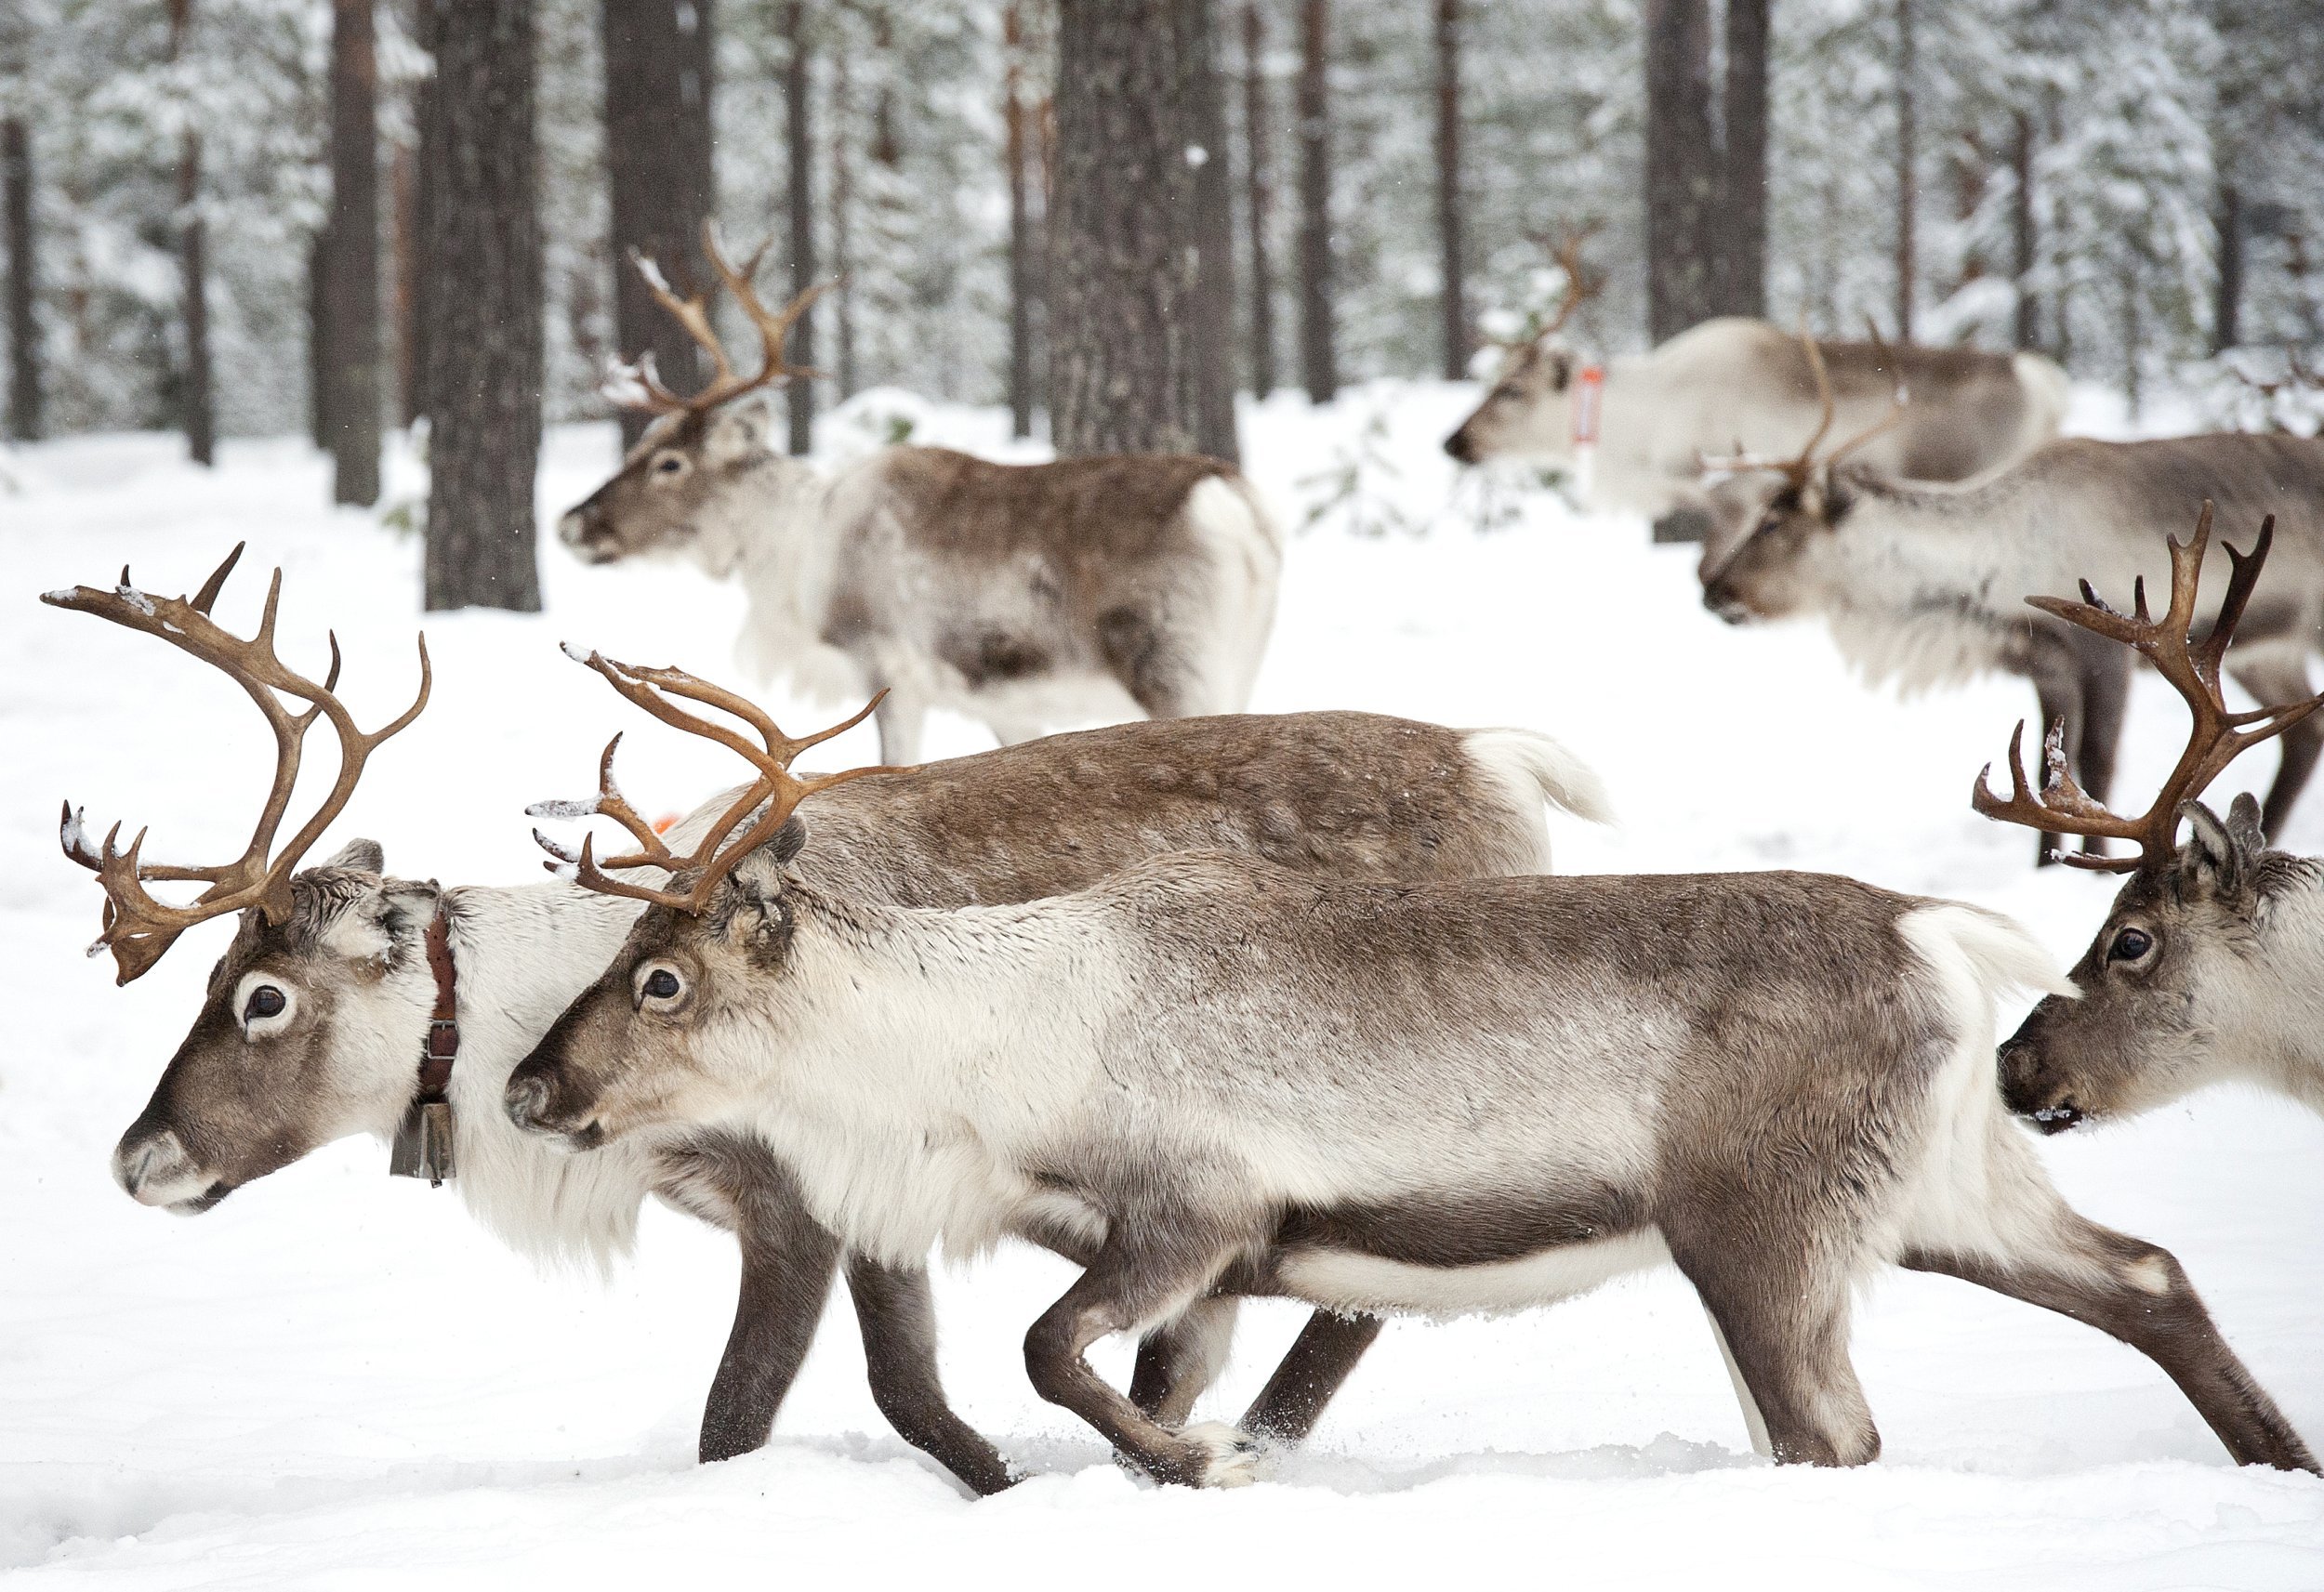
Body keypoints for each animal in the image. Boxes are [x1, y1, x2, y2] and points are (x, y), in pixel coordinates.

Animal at [51, 545, 1613, 1495]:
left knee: (1354, 1296)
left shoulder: (807, 1200)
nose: (139, 1159)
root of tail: (1500, 759)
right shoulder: (875, 1207)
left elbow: (782, 1410)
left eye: (259, 997)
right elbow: (918, 1386)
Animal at [502, 649, 2315, 1488]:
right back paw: (2276, 1463)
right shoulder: (1218, 1265)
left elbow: (1046, 1353)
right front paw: (1189, 1465)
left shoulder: (1191, 1210)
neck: (980, 1057)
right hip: (1951, 1186)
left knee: (1837, 1433)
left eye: (660, 974)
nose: (527, 1089)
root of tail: (1937, 933)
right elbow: (1124, 1383)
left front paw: (1219, 1464)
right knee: (2149, 1275)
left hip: (1760, 1228)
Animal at [556, 222, 1282, 765]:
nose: (571, 522)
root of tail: (1234, 505)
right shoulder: (1000, 704)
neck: (795, 557)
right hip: (1240, 662)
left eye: (670, 462)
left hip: (1176, 667)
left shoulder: (888, 670)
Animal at [1698, 336, 2324, 867]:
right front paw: (2046, 866)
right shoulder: (2047, 665)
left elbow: (2098, 765)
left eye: (1772, 522)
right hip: (2260, 652)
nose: (1711, 590)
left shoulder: (2111, 650)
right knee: (2304, 732)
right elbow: (2050, 779)